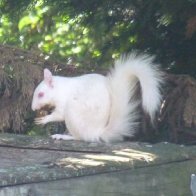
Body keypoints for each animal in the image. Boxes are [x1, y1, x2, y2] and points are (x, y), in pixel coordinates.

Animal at [31, 53, 162, 142]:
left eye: (41, 94)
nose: (33, 108)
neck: (59, 89)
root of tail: (96, 133)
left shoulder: (62, 102)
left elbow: (59, 115)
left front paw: (44, 119)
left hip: (72, 112)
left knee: (80, 137)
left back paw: (63, 136)